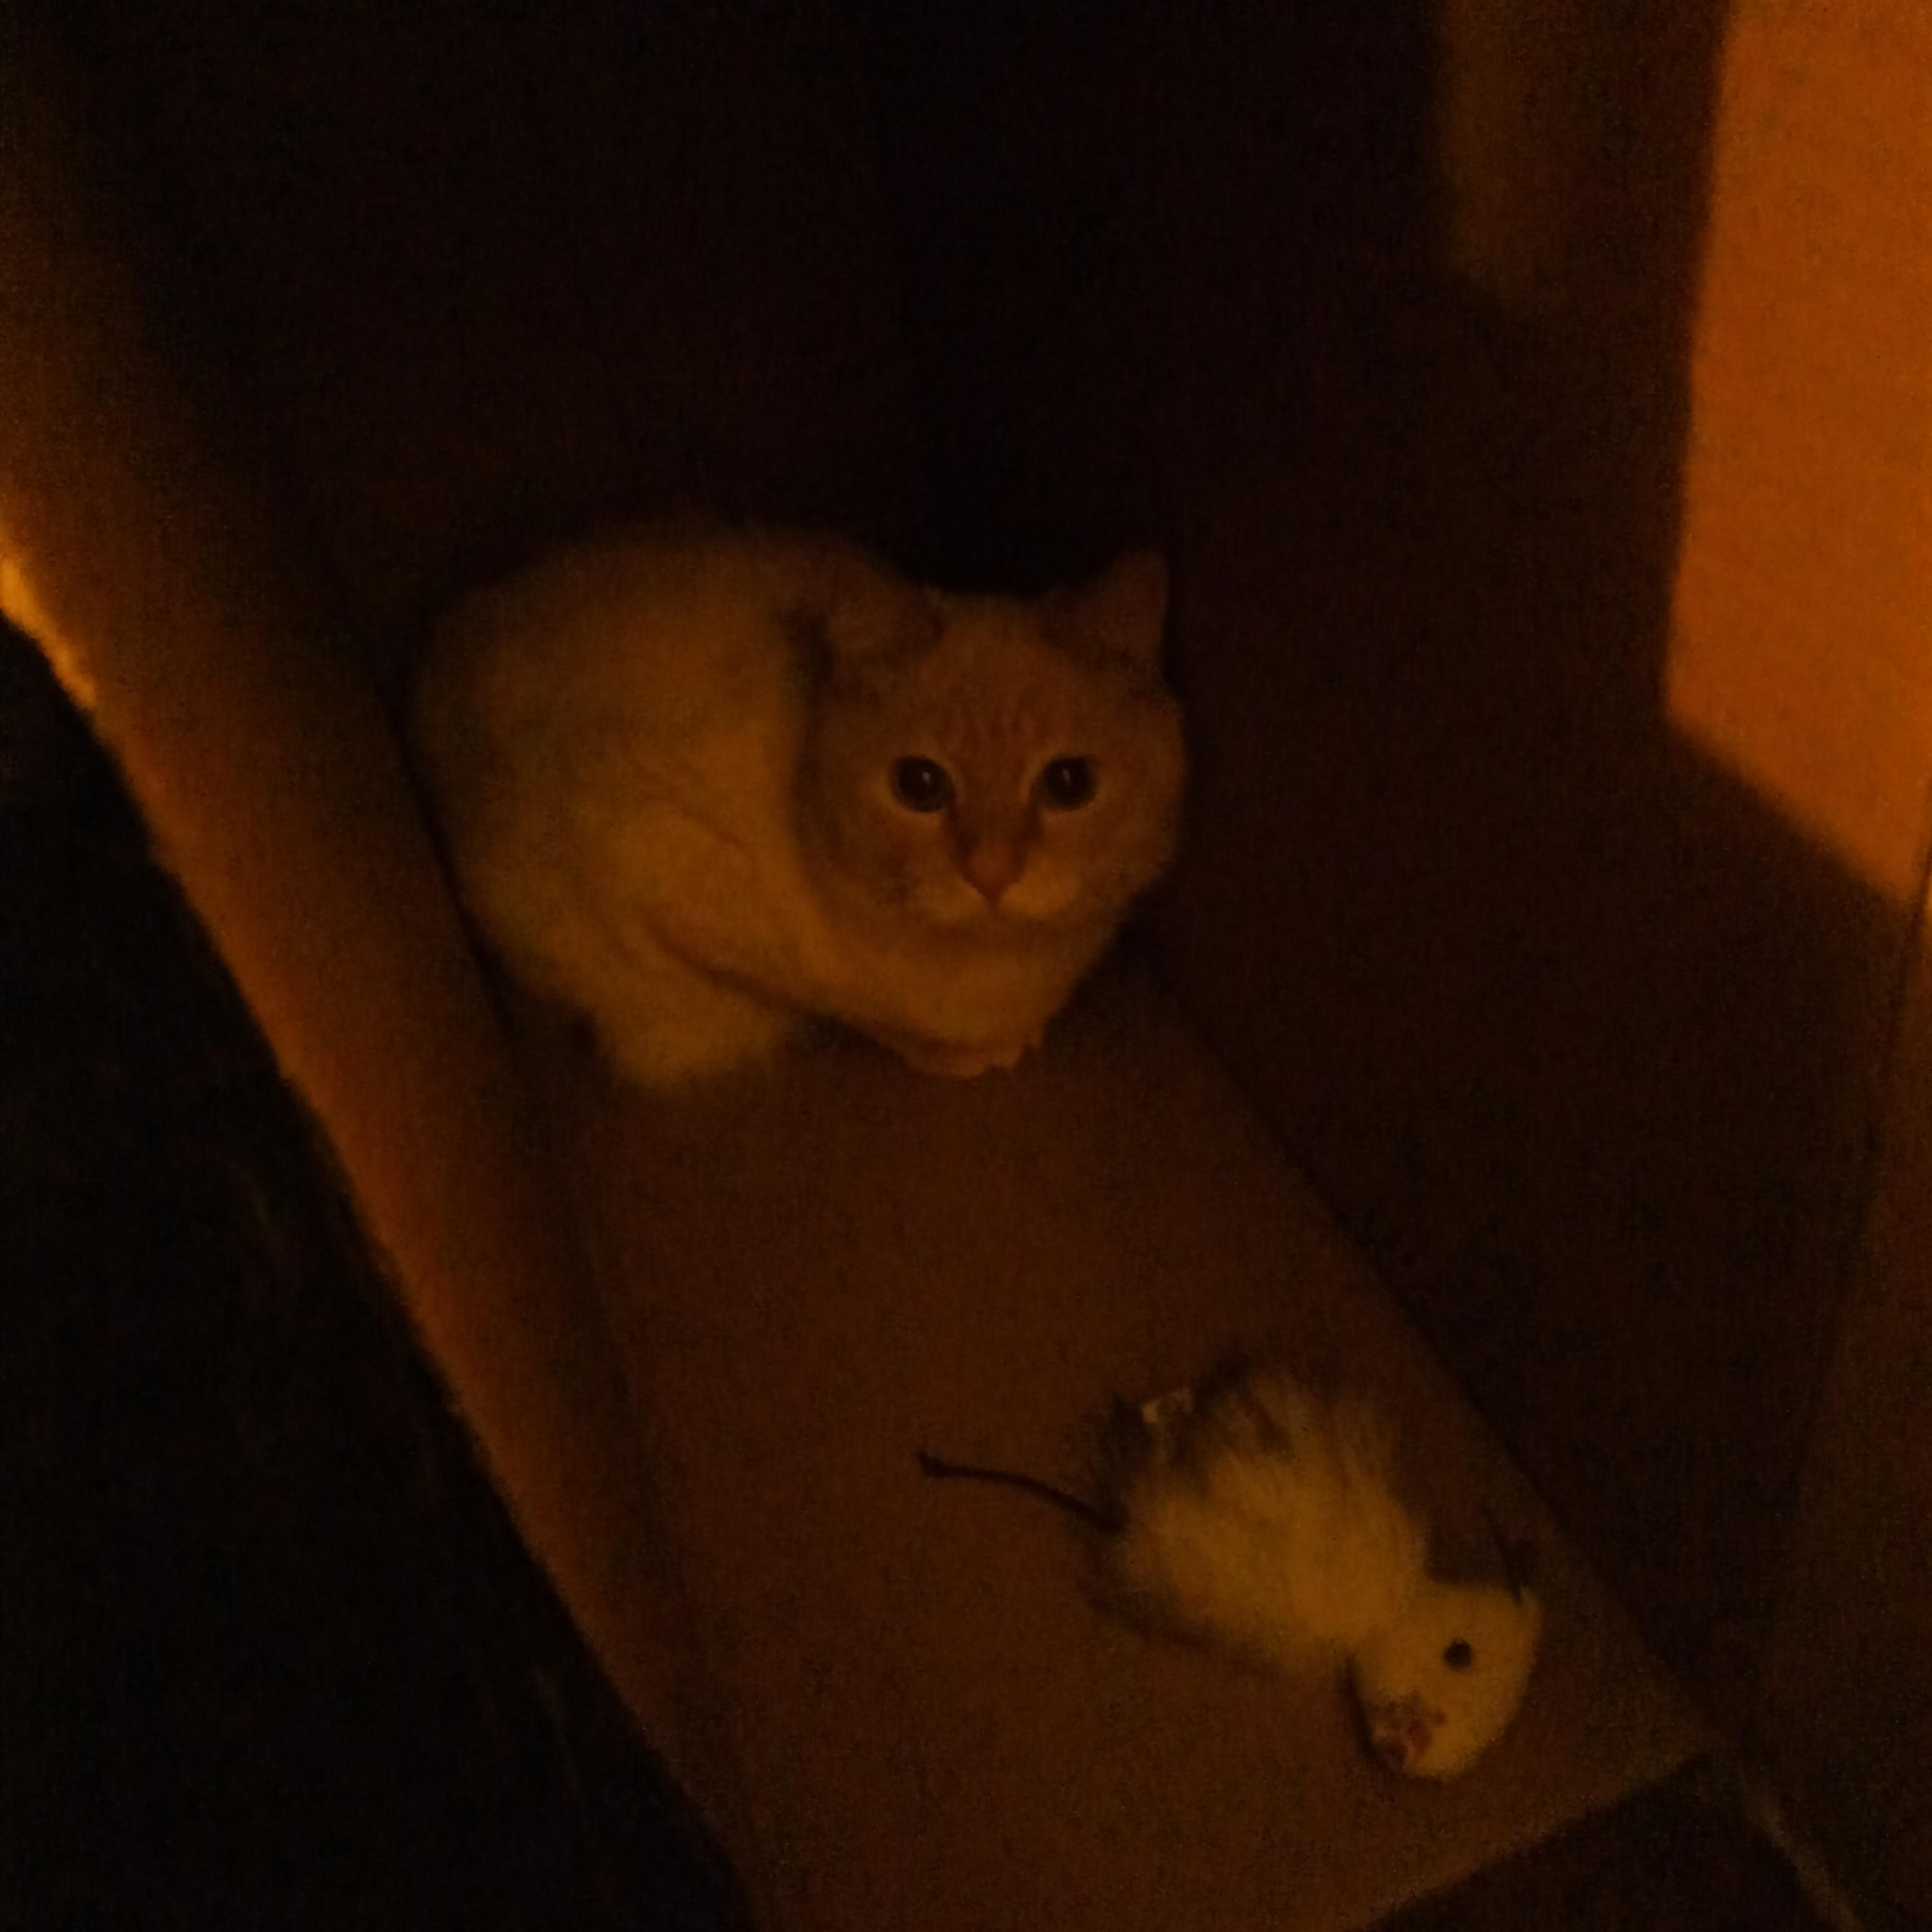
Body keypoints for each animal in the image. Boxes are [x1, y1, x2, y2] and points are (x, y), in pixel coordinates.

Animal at [410, 521, 1185, 1089]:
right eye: (920, 786)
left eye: (1069, 785)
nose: (991, 875)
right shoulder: (663, 874)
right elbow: (856, 1007)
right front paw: (965, 1053)